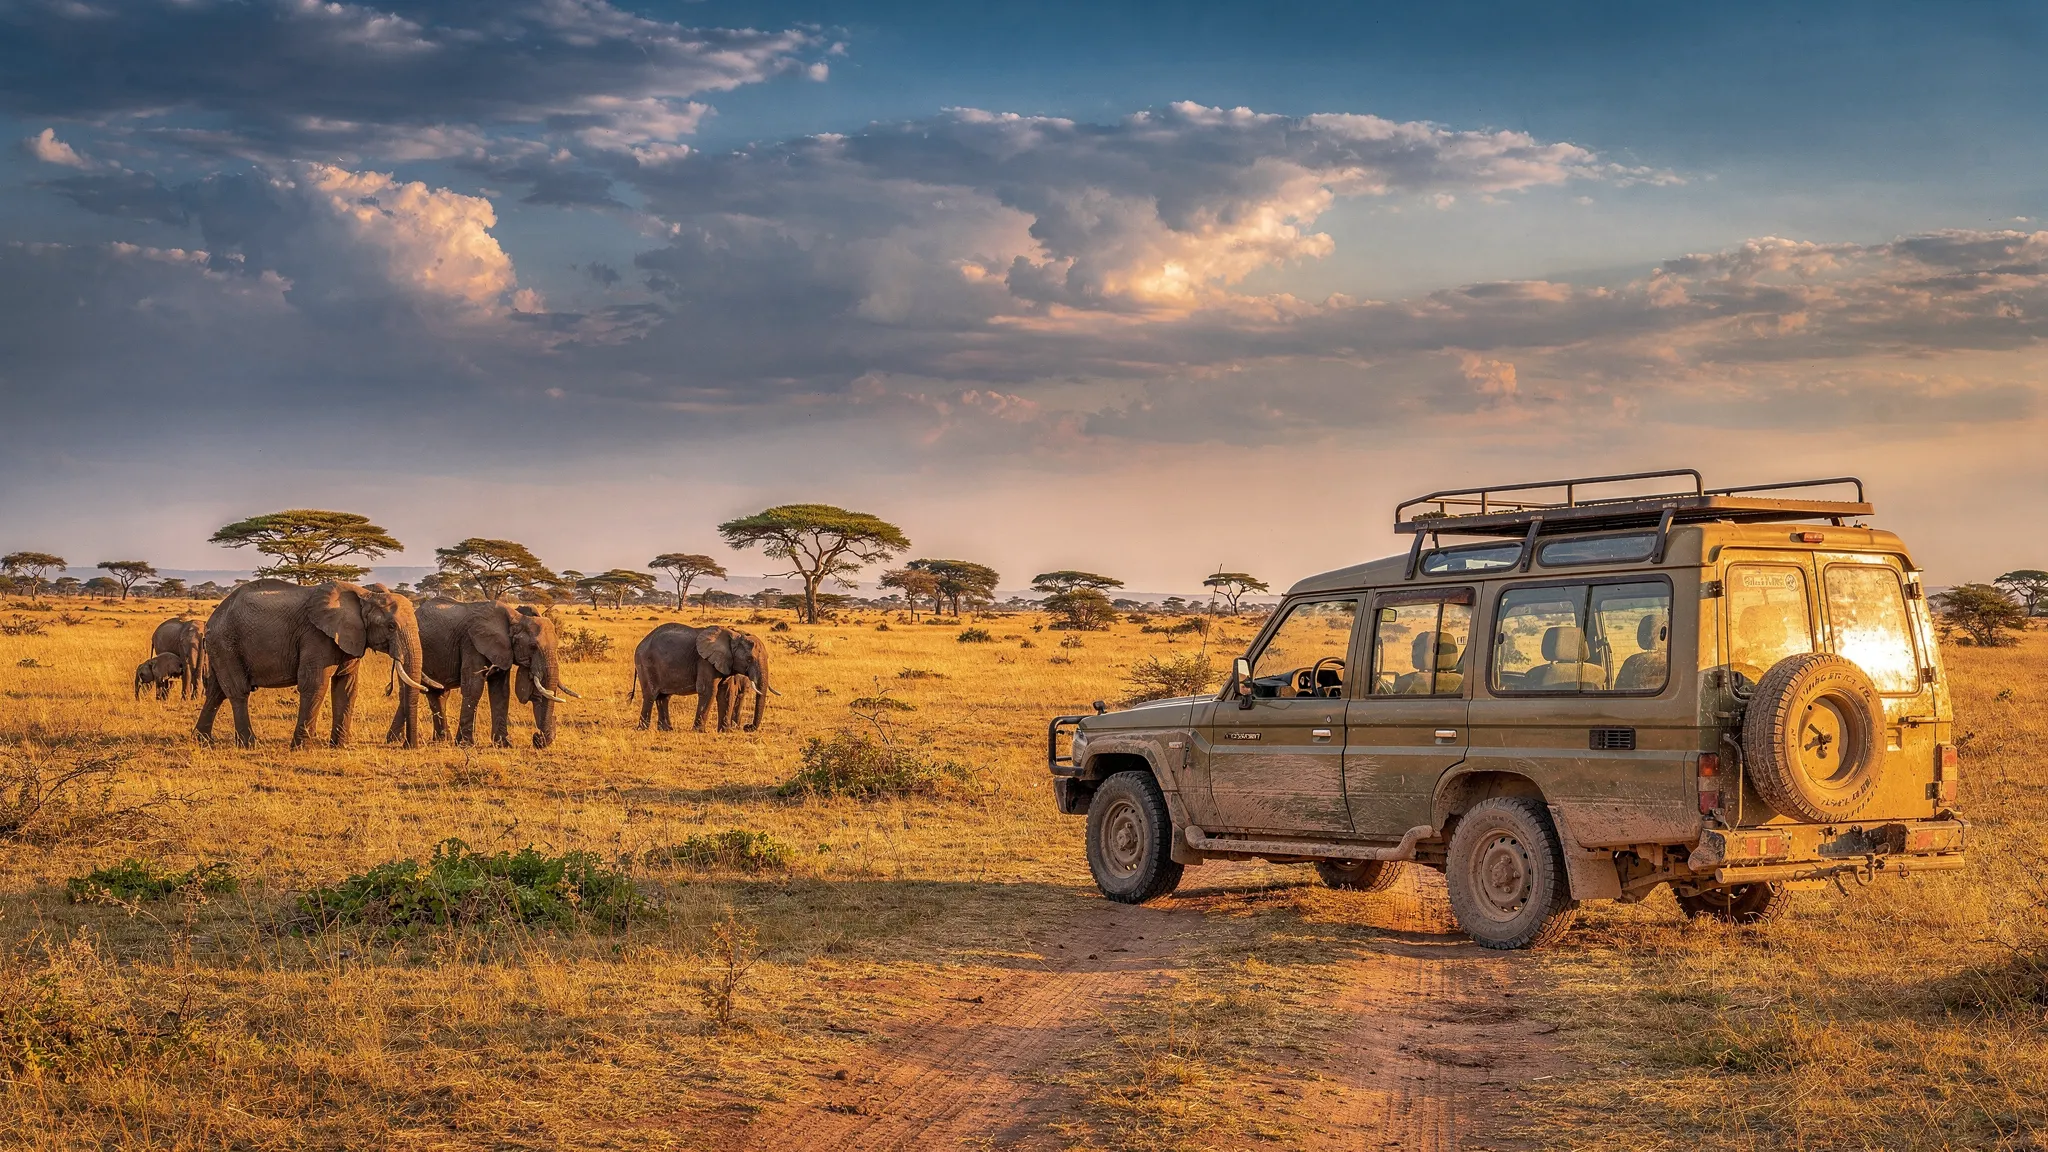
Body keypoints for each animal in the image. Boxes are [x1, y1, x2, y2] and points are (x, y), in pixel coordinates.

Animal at [197, 579, 438, 749]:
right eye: (390, 626)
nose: (409, 746)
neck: (365, 595)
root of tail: (212, 619)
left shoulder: (351, 638)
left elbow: (346, 687)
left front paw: (339, 747)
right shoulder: (316, 636)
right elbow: (315, 683)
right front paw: (302, 748)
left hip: (222, 647)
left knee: (216, 692)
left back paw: (203, 740)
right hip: (226, 642)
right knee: (238, 692)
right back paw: (249, 744)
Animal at [409, 598, 580, 748]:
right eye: (533, 646)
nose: (537, 738)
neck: (516, 618)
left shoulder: (503, 651)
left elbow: (501, 691)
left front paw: (503, 745)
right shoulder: (472, 643)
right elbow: (474, 687)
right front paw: (466, 745)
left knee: (439, 694)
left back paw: (442, 740)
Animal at [631, 624, 776, 732]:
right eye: (749, 659)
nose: (747, 727)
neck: (734, 636)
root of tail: (641, 643)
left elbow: (726, 693)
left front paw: (725, 732)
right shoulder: (705, 661)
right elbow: (709, 690)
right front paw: (699, 731)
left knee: (664, 697)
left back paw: (666, 729)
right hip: (646, 663)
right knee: (651, 695)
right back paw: (643, 729)